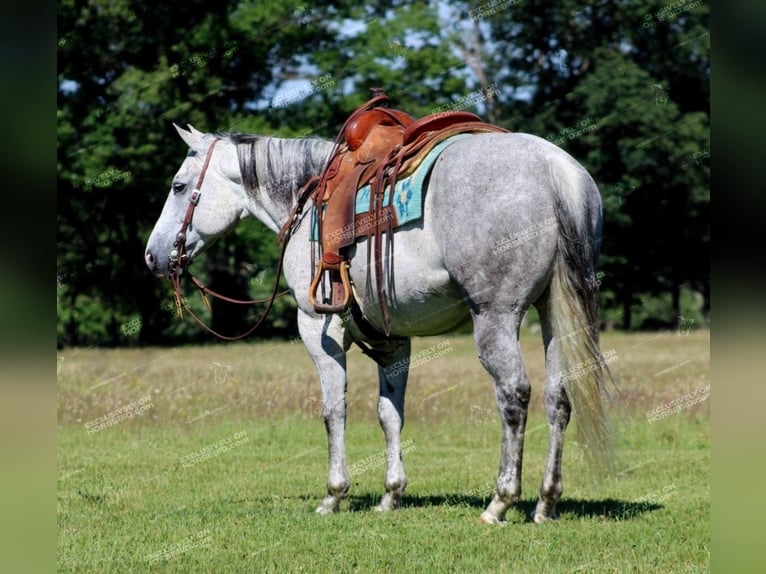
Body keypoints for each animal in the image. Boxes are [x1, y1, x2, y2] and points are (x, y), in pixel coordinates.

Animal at [146, 126, 616, 528]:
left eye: (178, 187)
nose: (153, 255)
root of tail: (554, 168)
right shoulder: (394, 343)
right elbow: (390, 414)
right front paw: (391, 494)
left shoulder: (317, 328)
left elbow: (334, 410)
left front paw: (333, 495)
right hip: (554, 314)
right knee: (559, 399)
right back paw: (545, 503)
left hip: (495, 319)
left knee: (514, 395)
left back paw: (499, 502)